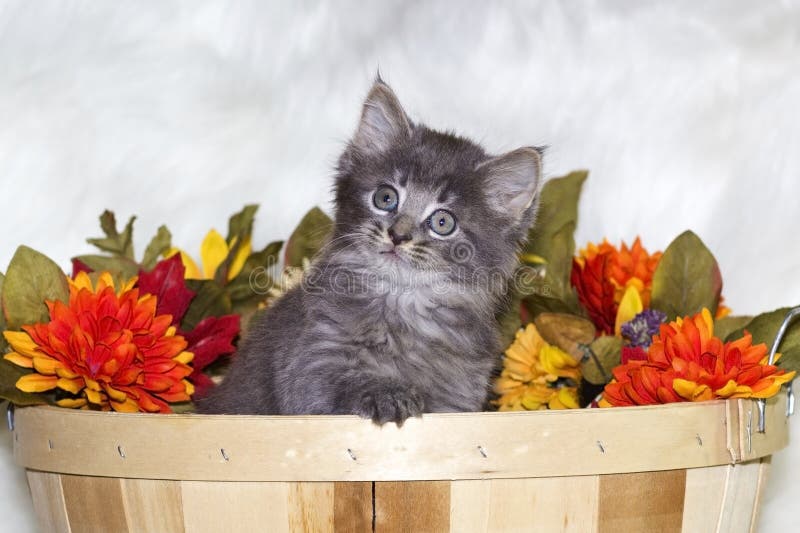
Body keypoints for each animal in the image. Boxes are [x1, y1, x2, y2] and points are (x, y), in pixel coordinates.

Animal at [198, 78, 544, 424]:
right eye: (386, 198)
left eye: (443, 222)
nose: (398, 235)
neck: (402, 305)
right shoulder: (309, 362)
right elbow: (345, 381)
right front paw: (388, 394)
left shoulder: (459, 393)